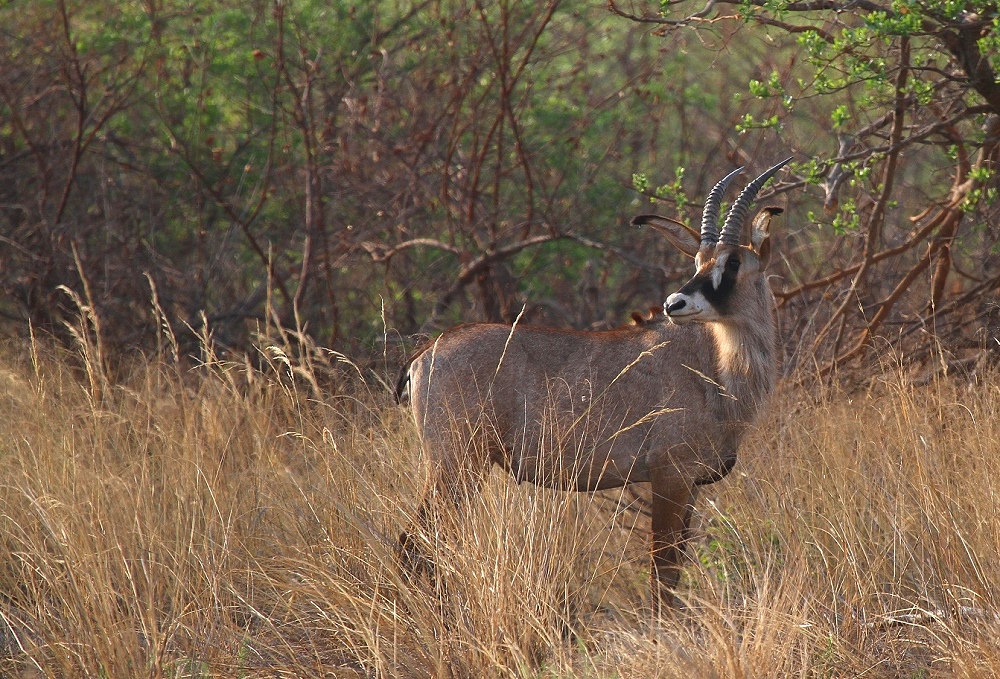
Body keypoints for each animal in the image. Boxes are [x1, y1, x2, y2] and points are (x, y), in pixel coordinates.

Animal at [394, 159, 792, 612]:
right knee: (414, 543)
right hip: (456, 464)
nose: (675, 304)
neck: (715, 369)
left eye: (734, 263)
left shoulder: (689, 485)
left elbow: (673, 573)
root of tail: (424, 356)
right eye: (699, 261)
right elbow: (663, 575)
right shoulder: (669, 476)